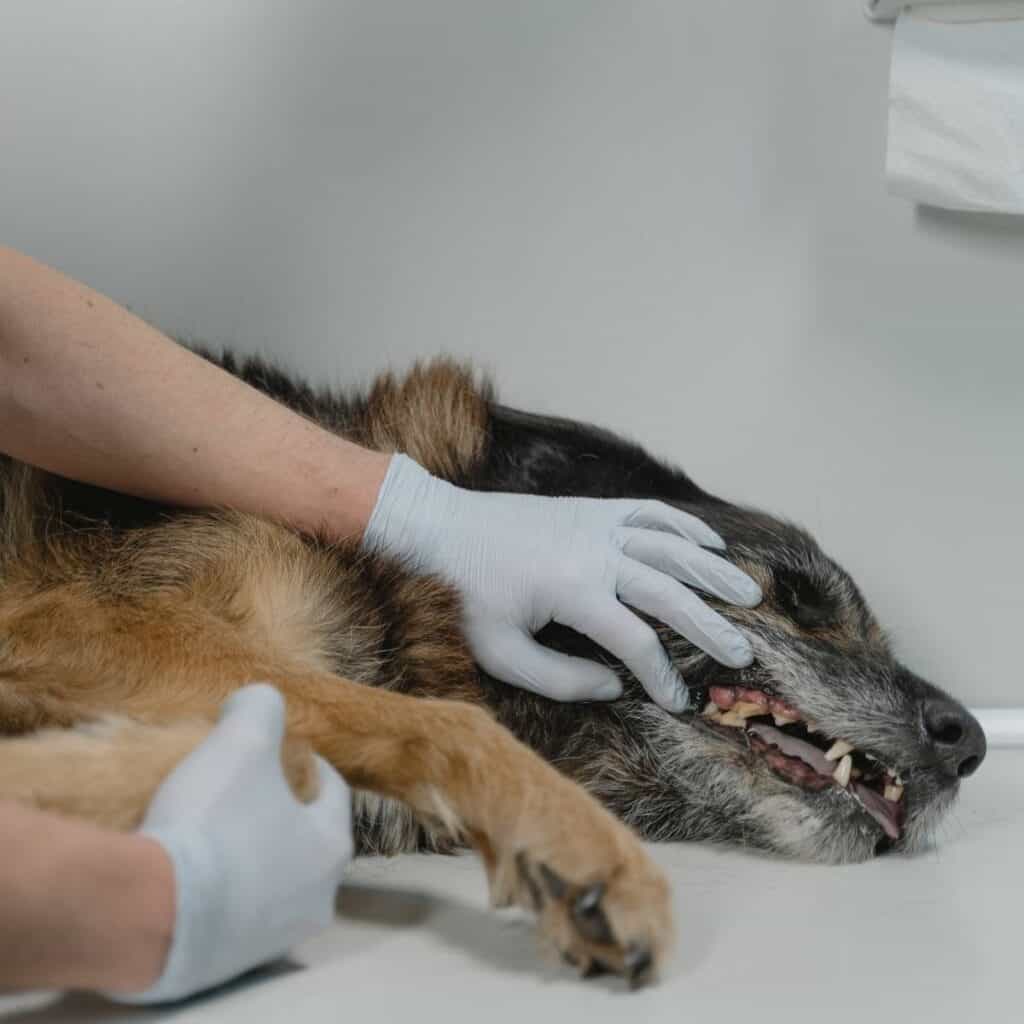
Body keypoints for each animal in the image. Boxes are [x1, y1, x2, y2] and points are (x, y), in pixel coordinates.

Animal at [2, 352, 991, 983]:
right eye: (797, 597)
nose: (970, 740)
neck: (403, 590)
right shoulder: (78, 621)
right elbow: (444, 725)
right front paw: (585, 849)